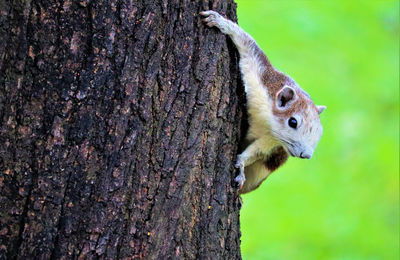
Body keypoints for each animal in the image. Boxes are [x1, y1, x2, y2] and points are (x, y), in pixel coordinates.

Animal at [200, 10, 324, 193]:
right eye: (293, 122)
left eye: (320, 131)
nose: (306, 155)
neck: (267, 121)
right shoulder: (263, 79)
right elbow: (249, 48)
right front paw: (222, 22)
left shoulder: (271, 142)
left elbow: (255, 152)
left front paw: (240, 165)